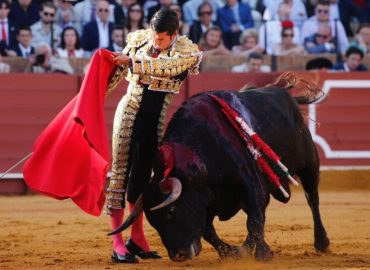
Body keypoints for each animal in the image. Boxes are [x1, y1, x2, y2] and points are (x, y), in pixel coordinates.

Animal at [110, 73, 330, 262]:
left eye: (171, 211)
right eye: (153, 222)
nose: (178, 255)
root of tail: (282, 92)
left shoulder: (250, 184)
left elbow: (254, 221)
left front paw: (257, 253)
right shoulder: (204, 201)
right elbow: (209, 231)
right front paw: (232, 252)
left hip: (310, 162)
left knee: (312, 197)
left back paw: (321, 242)